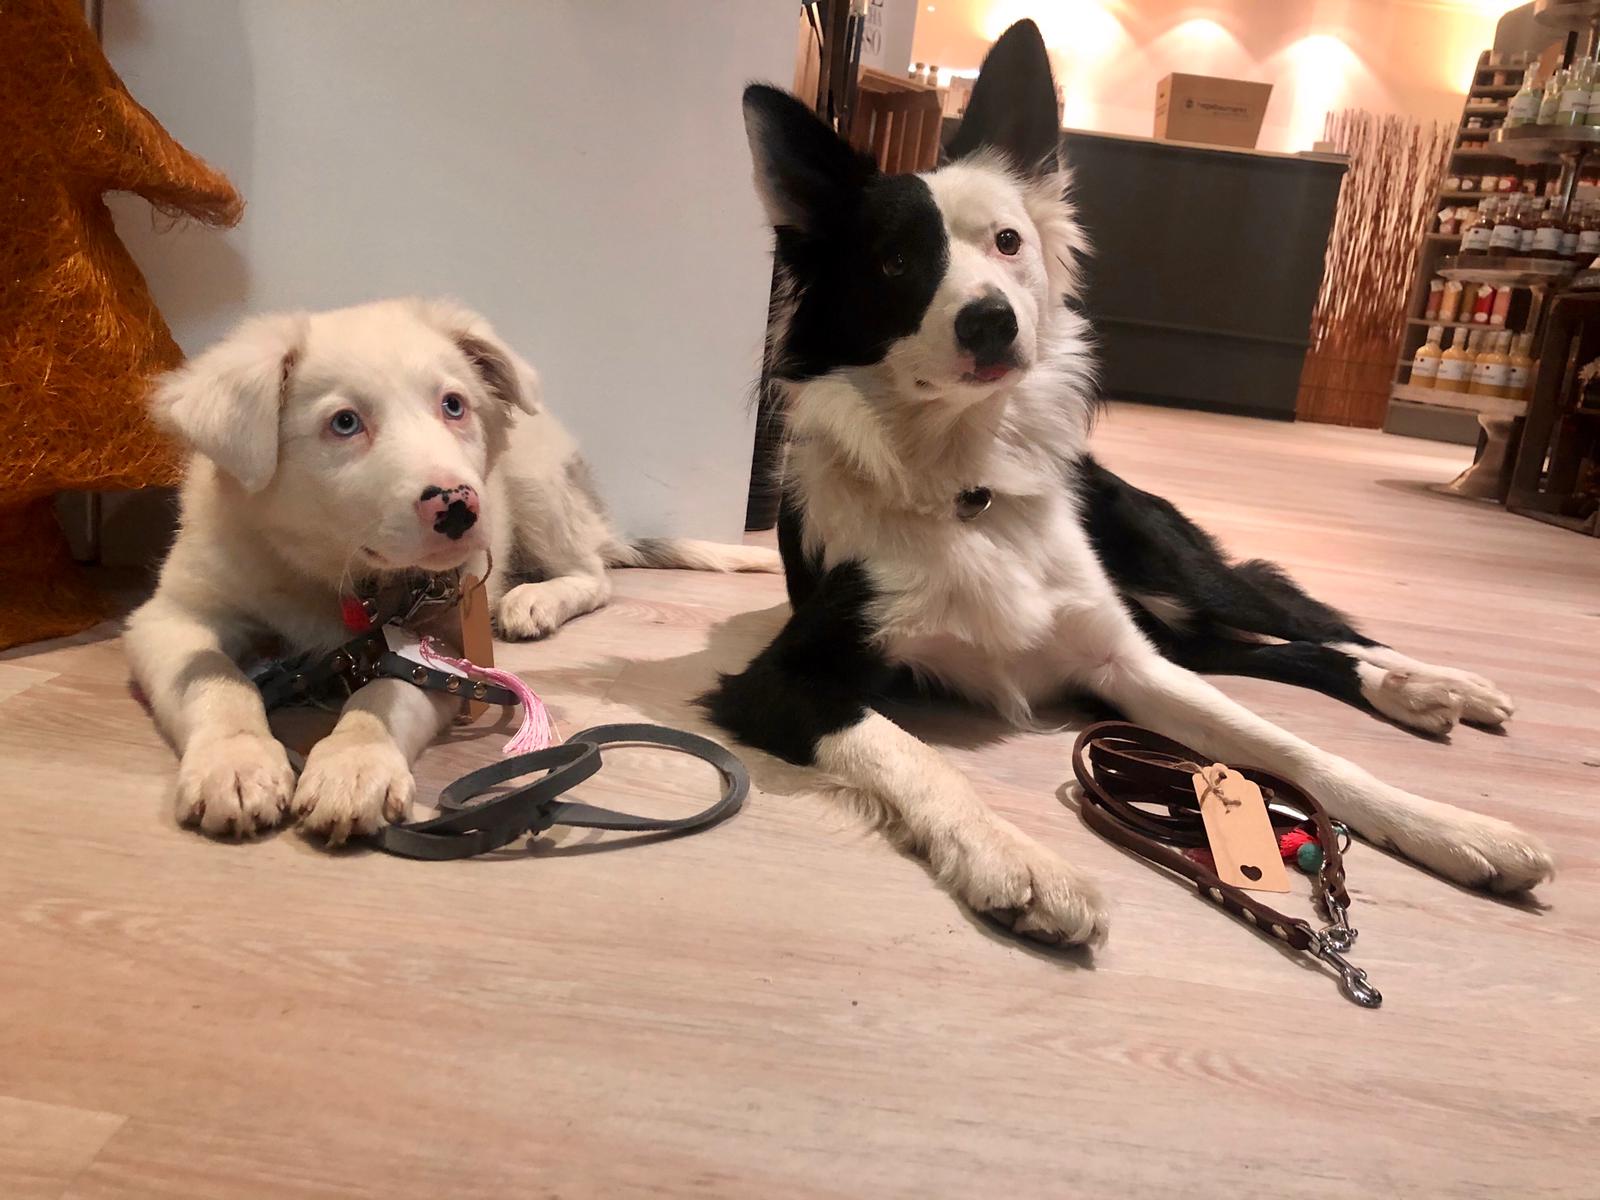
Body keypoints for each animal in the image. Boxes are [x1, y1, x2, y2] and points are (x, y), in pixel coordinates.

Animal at [125, 297, 776, 842]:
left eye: (453, 405)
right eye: (344, 422)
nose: (460, 506)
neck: (336, 575)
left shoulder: (446, 649)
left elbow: (388, 692)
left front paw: (354, 765)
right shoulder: (171, 614)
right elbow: (217, 678)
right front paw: (236, 765)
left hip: (535, 484)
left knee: (595, 574)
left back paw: (533, 599)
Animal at [706, 20, 1553, 944]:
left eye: (1008, 242)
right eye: (896, 261)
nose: (991, 320)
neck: (970, 483)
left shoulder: (1122, 659)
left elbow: (1291, 748)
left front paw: (1445, 824)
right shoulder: (779, 681)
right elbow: (909, 750)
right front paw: (1016, 858)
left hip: (1168, 564)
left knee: (1307, 621)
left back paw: (1438, 683)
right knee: (1276, 648)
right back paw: (1420, 693)